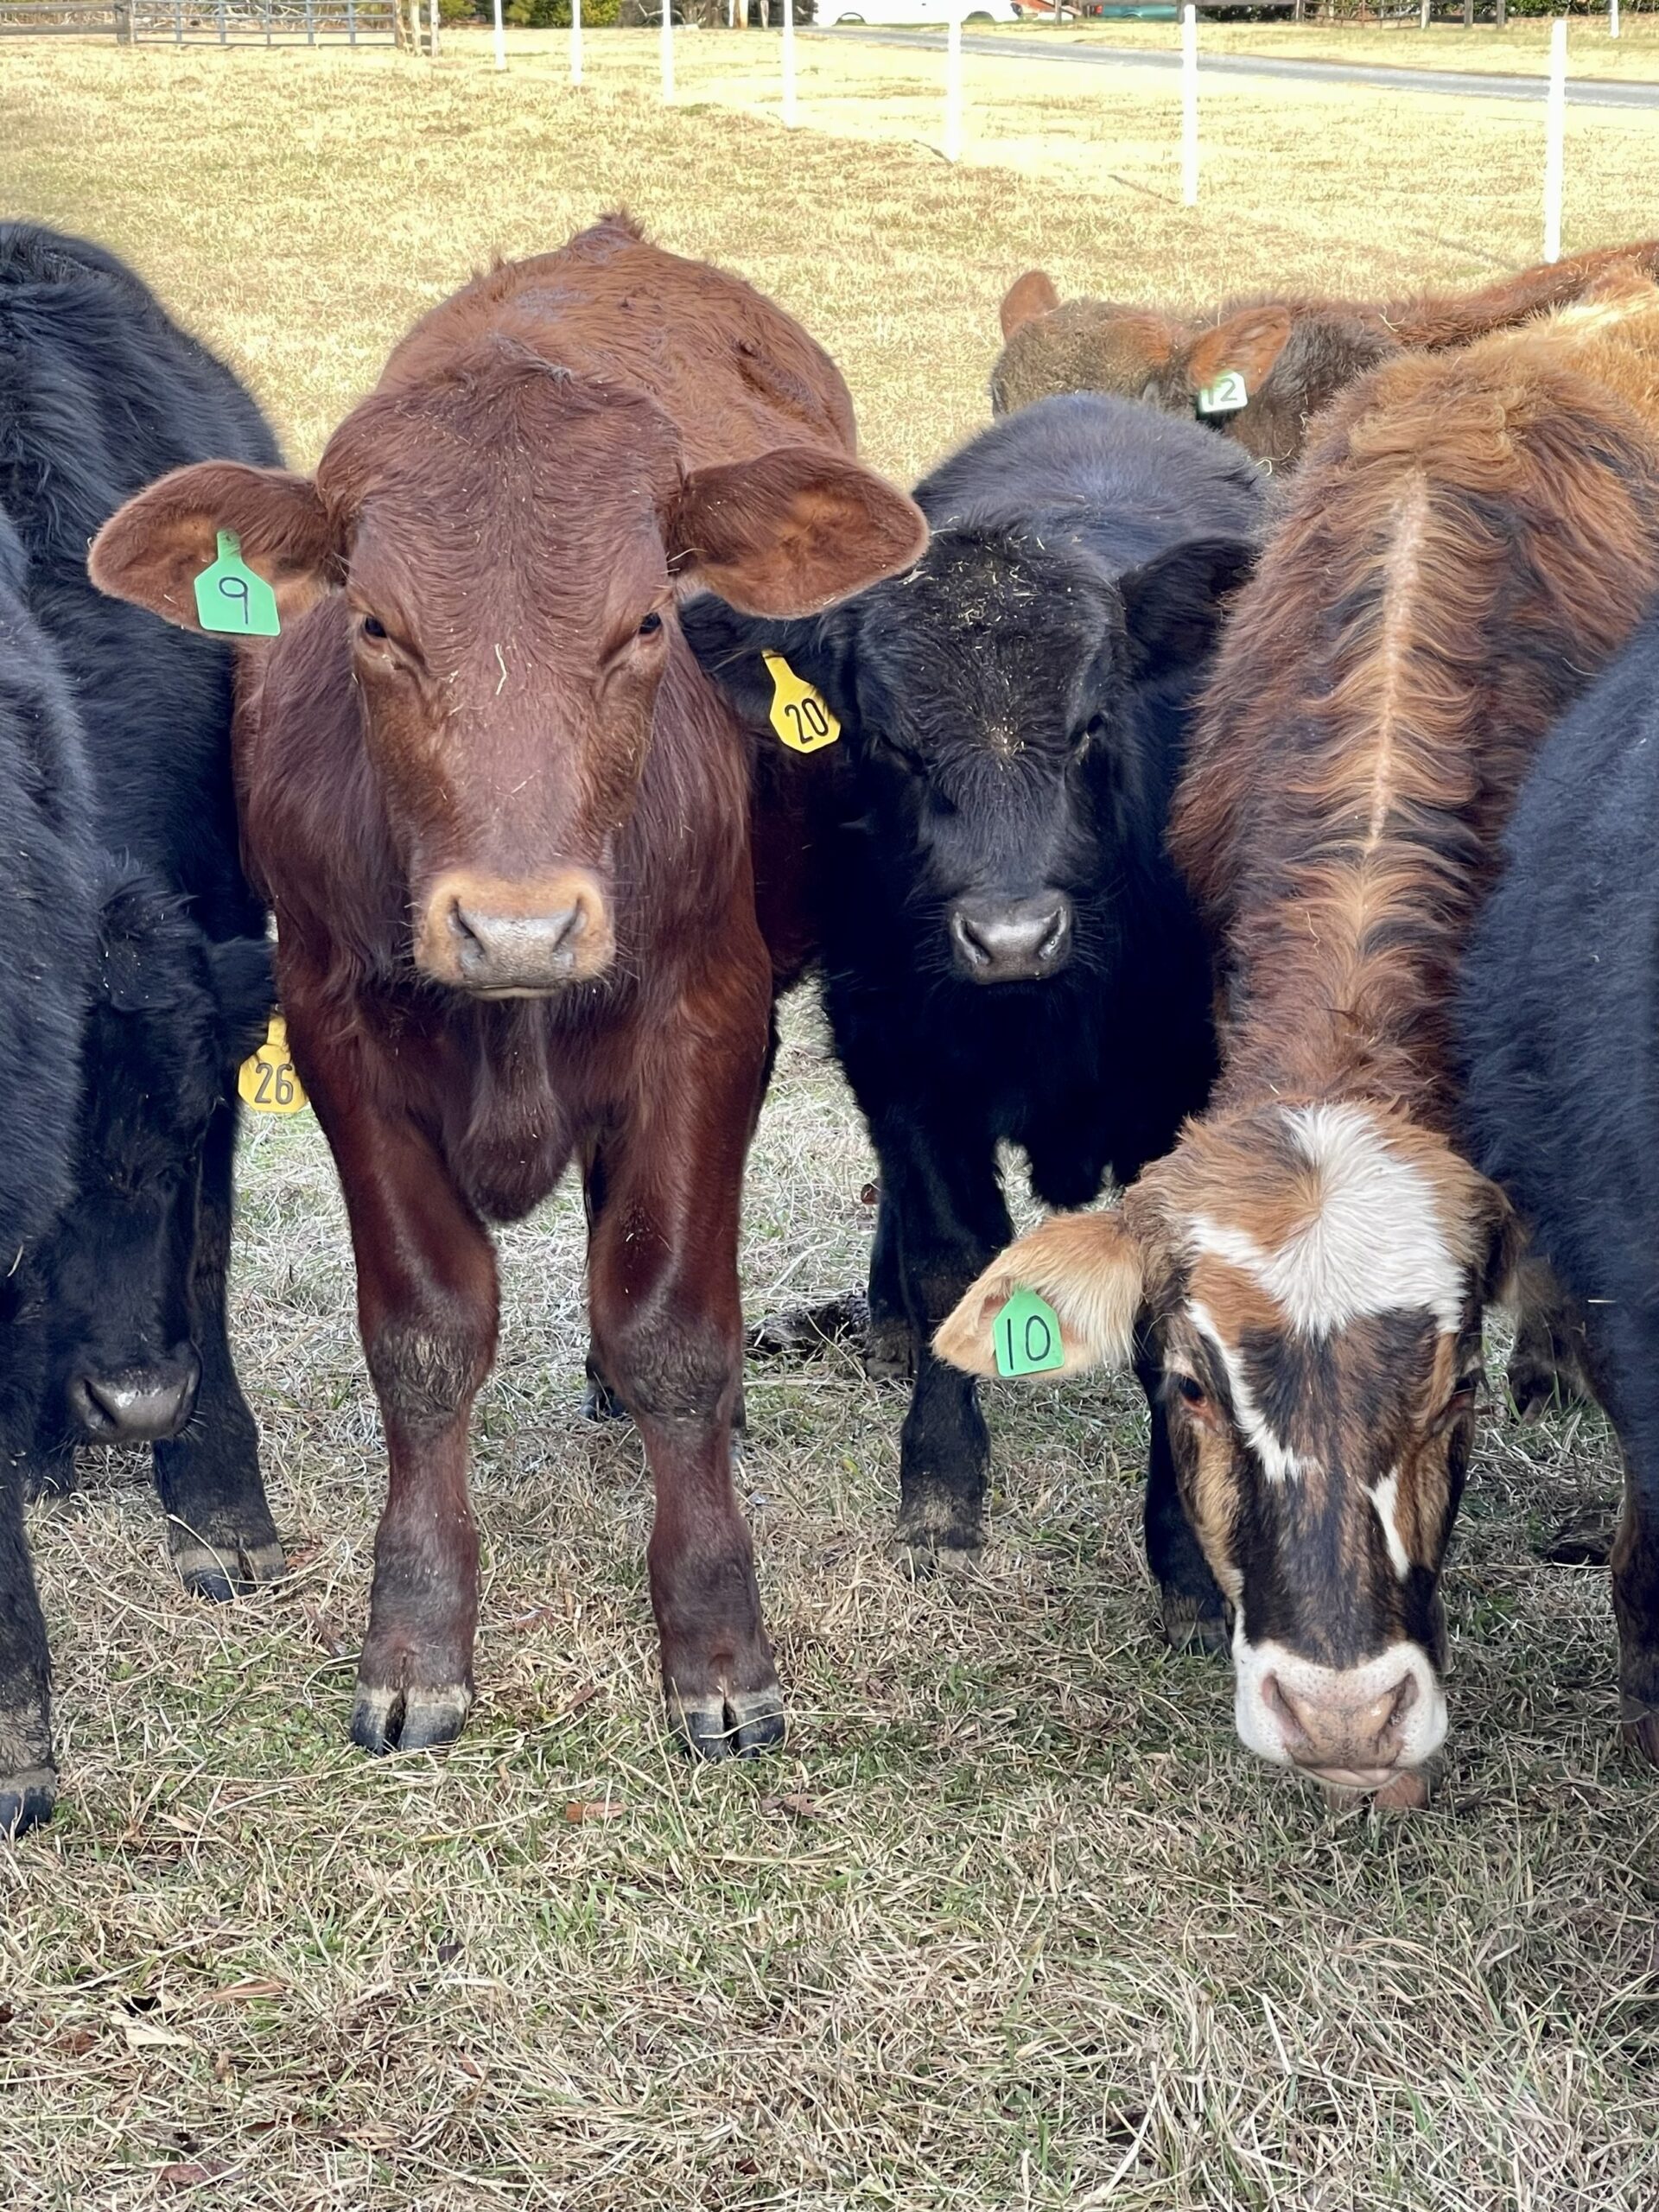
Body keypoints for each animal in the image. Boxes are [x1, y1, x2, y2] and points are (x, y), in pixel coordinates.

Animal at [91, 216, 927, 1760]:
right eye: (373, 625)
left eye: (649, 621)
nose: (520, 929)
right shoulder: (338, 1036)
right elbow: (425, 1337)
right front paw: (416, 1636)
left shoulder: (710, 1022)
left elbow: (674, 1328)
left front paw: (717, 1646)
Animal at [683, 393, 1259, 1633]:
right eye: (891, 742)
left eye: (1092, 724)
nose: (1009, 936)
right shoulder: (898, 1059)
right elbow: (950, 1257)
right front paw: (940, 1498)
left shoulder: (1181, 1095)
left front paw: (1188, 1567)